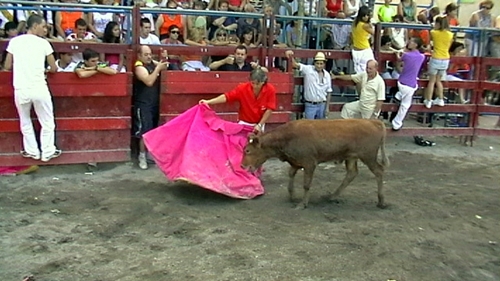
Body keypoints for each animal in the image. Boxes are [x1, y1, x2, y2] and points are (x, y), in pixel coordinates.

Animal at [242, 118, 390, 208]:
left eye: (248, 150)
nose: (242, 165)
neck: (286, 137)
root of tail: (373, 122)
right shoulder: (296, 162)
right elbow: (291, 174)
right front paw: (292, 196)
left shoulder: (309, 163)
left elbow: (306, 184)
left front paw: (303, 204)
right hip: (351, 157)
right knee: (352, 173)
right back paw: (332, 196)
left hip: (368, 156)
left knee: (378, 171)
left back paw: (381, 201)